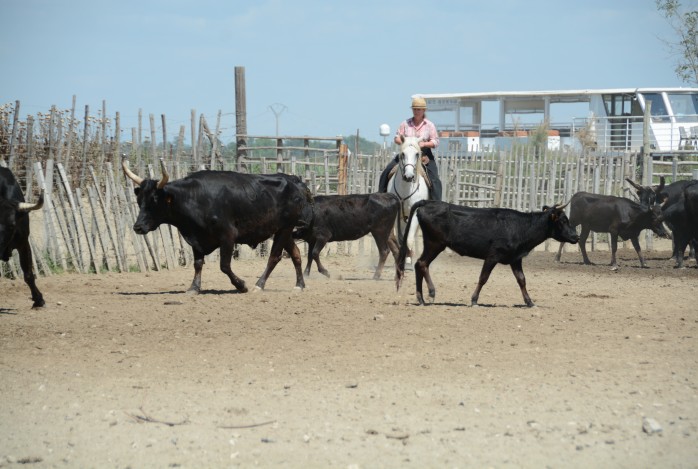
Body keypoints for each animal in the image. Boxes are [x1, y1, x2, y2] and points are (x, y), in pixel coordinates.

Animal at [122, 157, 312, 292]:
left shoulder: (227, 236)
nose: (138, 227)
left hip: (285, 228)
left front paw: (241, 285)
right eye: (139, 200)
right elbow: (198, 263)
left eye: (154, 200)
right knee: (295, 254)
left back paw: (259, 284)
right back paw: (299, 285)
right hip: (282, 230)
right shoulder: (196, 238)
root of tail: (294, 180)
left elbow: (224, 265)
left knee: (274, 257)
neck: (195, 197)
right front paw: (194, 287)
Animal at [386, 135, 430, 266]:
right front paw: (403, 258)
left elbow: (409, 238)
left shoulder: (414, 214)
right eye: (403, 154)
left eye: (417, 154)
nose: (409, 176)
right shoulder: (398, 215)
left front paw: (409, 260)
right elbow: (401, 239)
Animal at [396, 198, 576, 306]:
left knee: (421, 264)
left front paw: (529, 302)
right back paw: (428, 294)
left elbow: (522, 279)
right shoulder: (492, 256)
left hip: (433, 244)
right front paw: (474, 300)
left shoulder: (515, 259)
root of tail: (427, 202)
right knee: (422, 263)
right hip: (434, 243)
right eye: (563, 220)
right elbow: (483, 278)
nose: (576, 236)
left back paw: (422, 297)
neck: (520, 226)